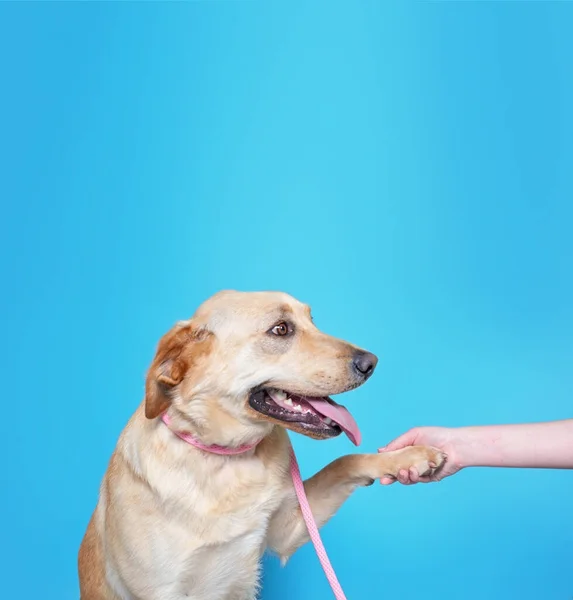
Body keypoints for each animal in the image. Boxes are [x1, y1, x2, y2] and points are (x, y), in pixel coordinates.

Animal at [78, 288, 444, 596]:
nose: (371, 363)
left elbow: (343, 462)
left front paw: (408, 456)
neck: (223, 459)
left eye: (312, 320)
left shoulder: (285, 530)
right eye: (281, 329)